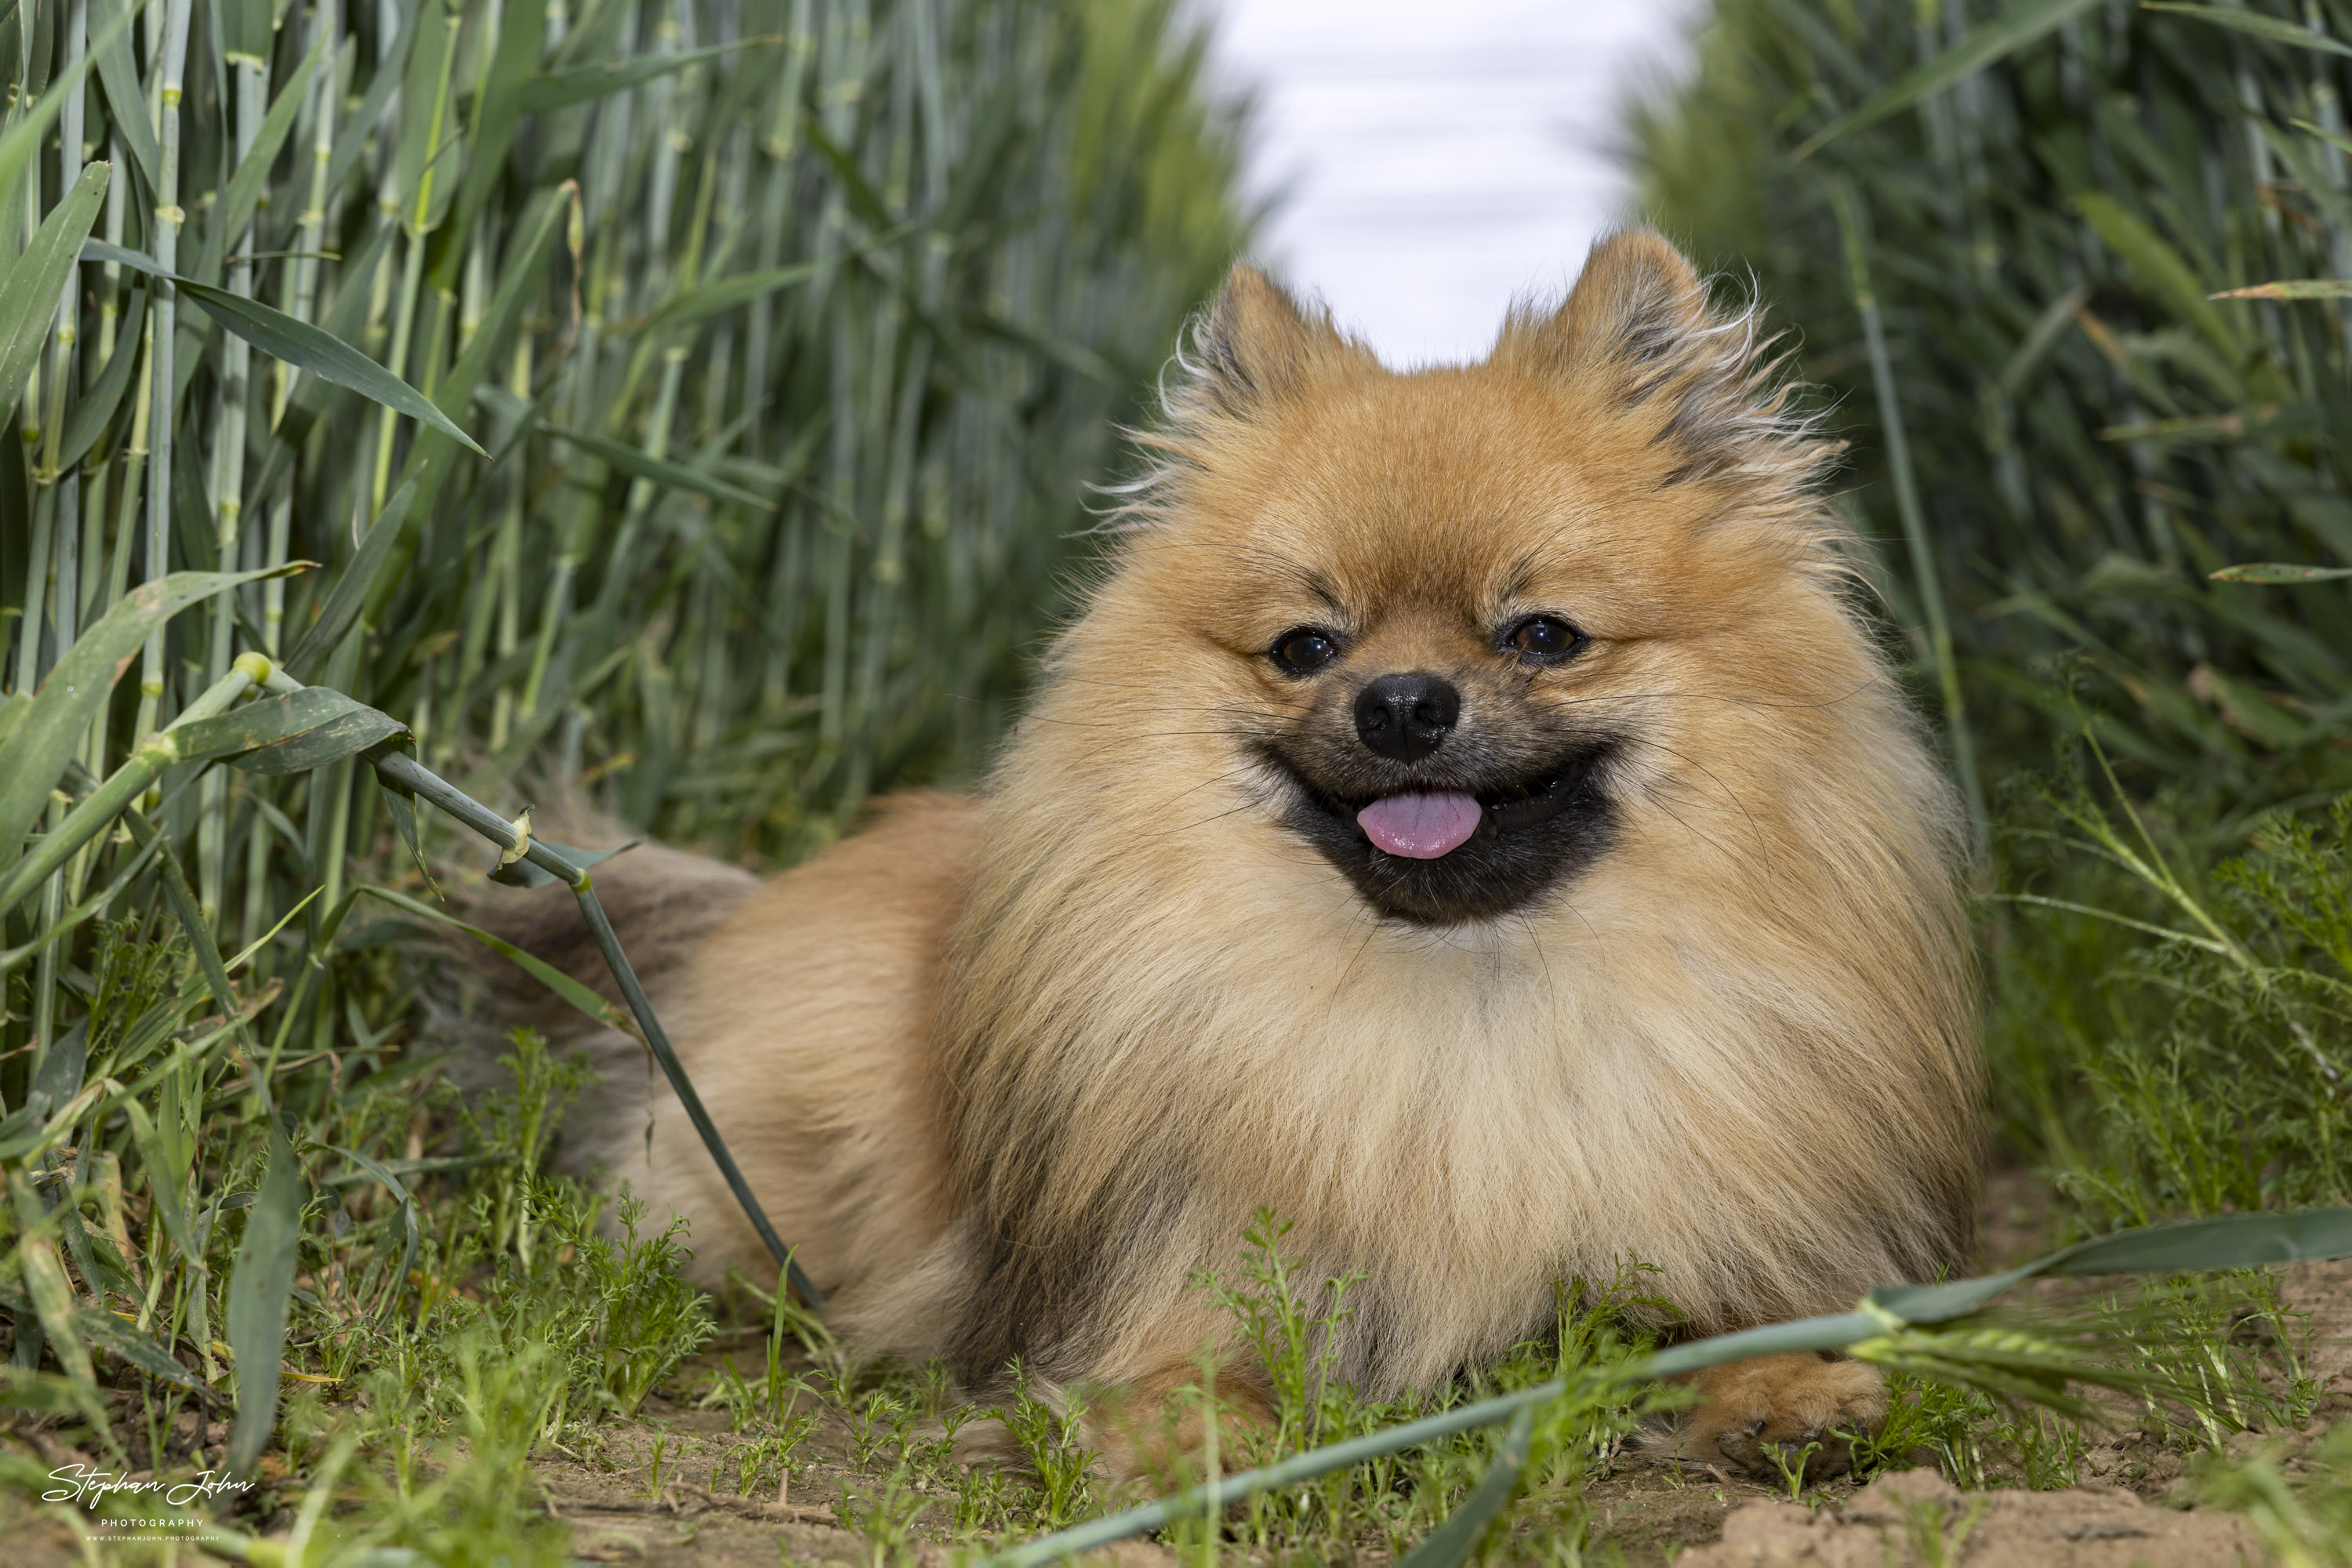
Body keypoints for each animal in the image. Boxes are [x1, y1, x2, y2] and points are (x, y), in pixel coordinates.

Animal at [492, 227, 1985, 1476]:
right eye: (1307, 648)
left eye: (1543, 636)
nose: (1403, 705)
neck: (1463, 1004)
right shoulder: (1178, 1264)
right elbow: (1186, 1364)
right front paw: (1198, 1439)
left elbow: (1732, 1309)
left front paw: (1785, 1389)